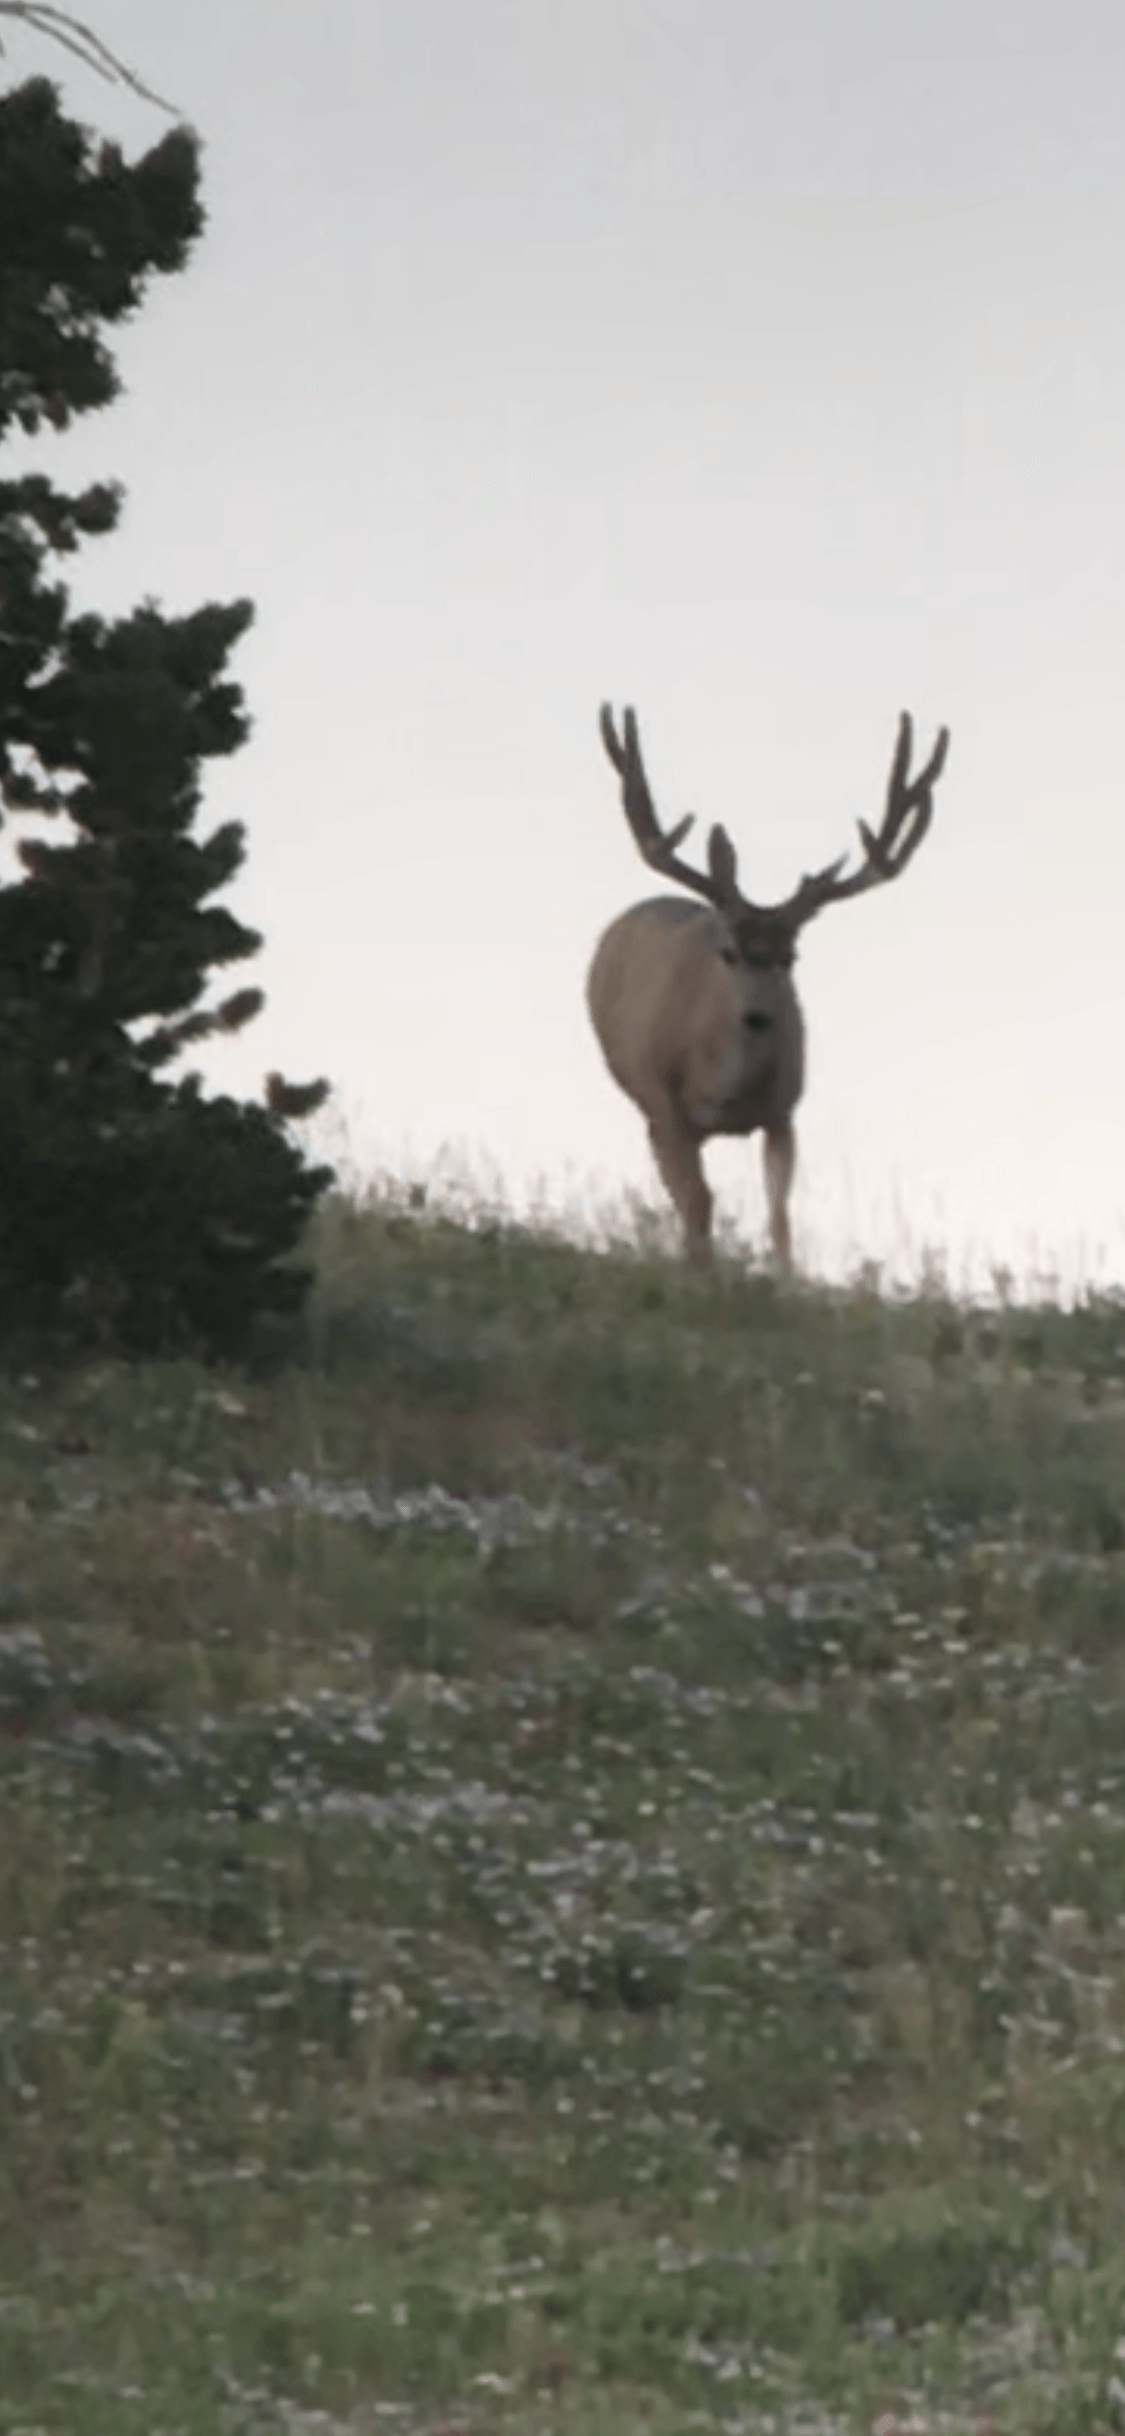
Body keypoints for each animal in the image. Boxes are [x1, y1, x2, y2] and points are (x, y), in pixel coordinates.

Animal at [588, 703, 950, 1267]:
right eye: (729, 953)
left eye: (790, 957)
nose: (758, 1017)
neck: (727, 1090)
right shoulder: (667, 1107)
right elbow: (698, 1203)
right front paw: (701, 1269)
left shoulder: (783, 1111)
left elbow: (779, 1215)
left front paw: (783, 1274)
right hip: (644, 1097)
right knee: (685, 1194)